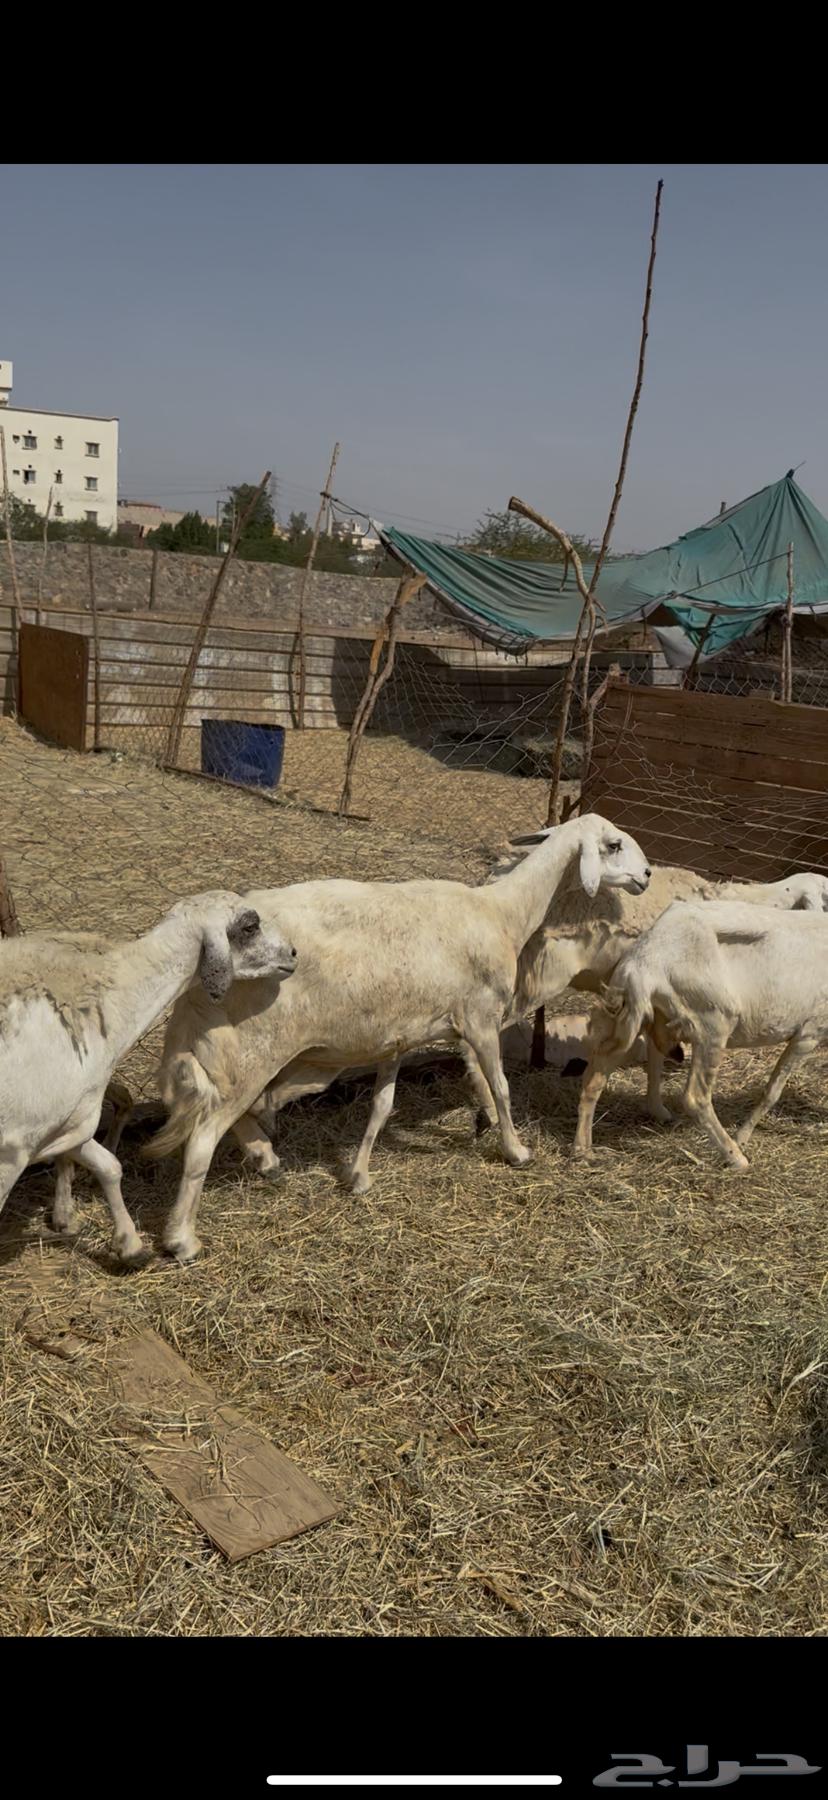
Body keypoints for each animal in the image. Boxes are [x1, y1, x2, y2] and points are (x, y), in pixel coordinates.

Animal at [0, 897, 296, 1262]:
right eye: (250, 926)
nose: (293, 953)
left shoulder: (66, 1123)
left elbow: (110, 1166)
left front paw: (129, 1246)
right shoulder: (13, 1146)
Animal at [145, 813, 652, 1262]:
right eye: (613, 845)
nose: (647, 875)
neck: (503, 912)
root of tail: (198, 980)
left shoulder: (396, 1036)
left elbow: (381, 1107)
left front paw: (358, 1176)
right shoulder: (480, 1019)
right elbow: (502, 1088)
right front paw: (517, 1150)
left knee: (239, 1112)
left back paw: (264, 1156)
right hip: (252, 1051)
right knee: (204, 1138)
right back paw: (182, 1239)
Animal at [572, 899, 828, 1168]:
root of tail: (642, 964)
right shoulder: (809, 1032)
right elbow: (772, 1092)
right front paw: (743, 1136)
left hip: (631, 1017)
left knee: (595, 1076)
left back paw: (583, 1150)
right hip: (713, 1024)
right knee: (695, 1098)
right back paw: (735, 1156)